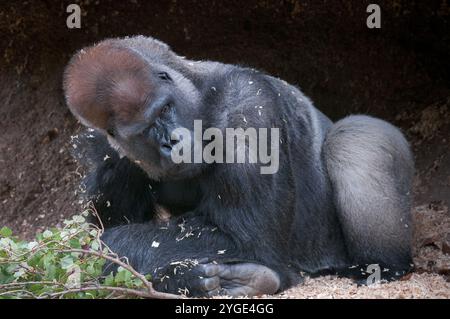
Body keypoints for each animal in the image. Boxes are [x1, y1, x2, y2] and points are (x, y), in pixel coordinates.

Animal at [64, 36, 414, 298]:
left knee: (355, 139)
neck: (199, 92)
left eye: (165, 109)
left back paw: (380, 266)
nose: (171, 142)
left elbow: (245, 239)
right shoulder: (107, 147)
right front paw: (180, 279)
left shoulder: (248, 107)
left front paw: (93, 249)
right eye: (145, 130)